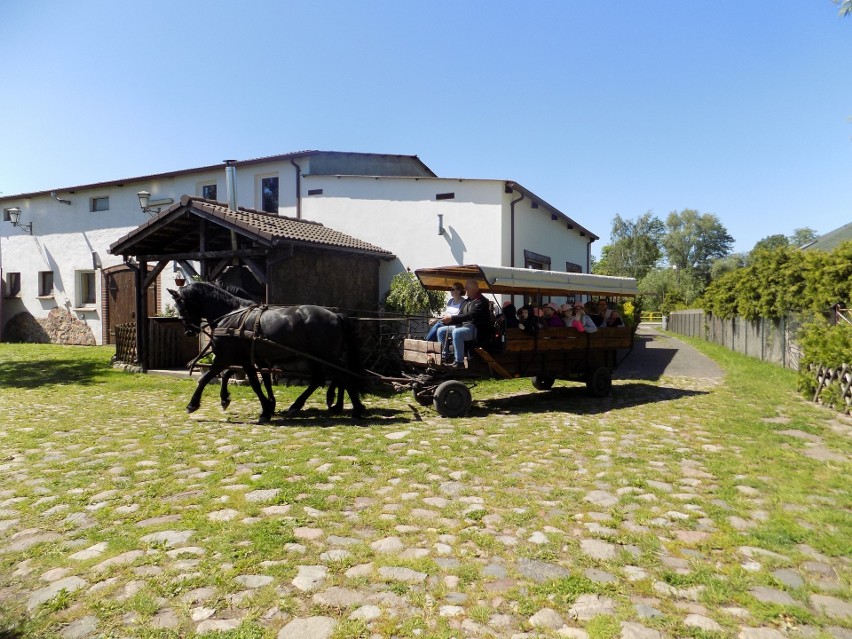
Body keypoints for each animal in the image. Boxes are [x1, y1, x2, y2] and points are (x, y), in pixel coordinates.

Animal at [168, 282, 364, 422]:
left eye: (181, 306)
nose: (189, 331)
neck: (232, 316)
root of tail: (336, 315)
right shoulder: (249, 359)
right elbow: (259, 380)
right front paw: (266, 405)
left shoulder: (227, 358)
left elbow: (209, 379)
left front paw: (193, 404)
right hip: (315, 357)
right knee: (321, 378)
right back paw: (301, 405)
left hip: (326, 356)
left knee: (342, 376)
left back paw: (355, 409)